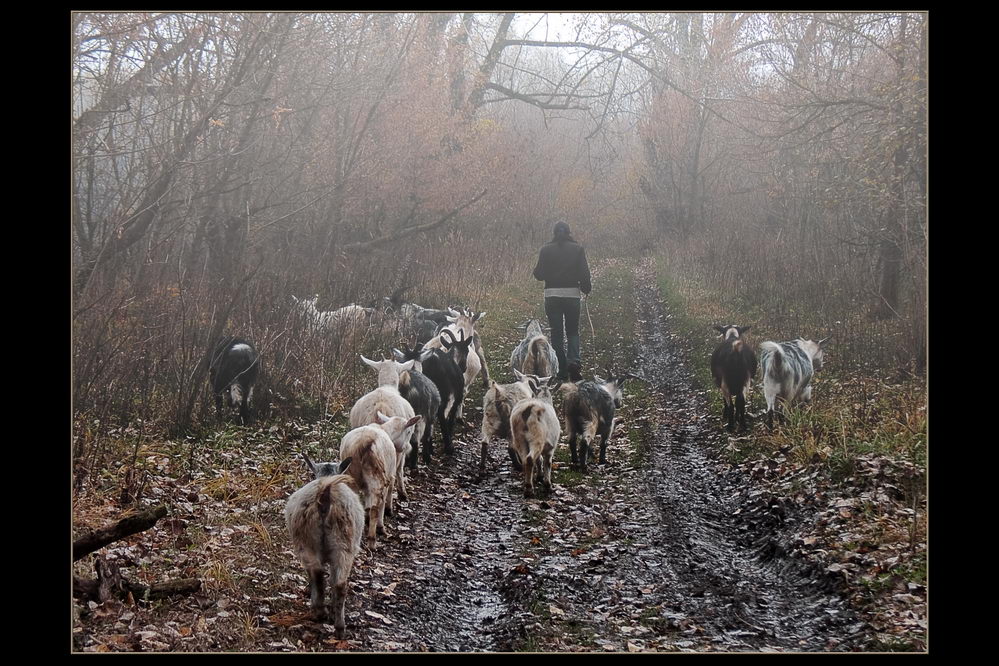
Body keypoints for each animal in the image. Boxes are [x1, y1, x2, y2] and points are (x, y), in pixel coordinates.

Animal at [286, 452, 364, 632]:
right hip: (341, 544)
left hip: (311, 542)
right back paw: (337, 624)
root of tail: (325, 491)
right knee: (337, 582)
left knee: (319, 575)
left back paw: (322, 614)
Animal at [340, 412, 422, 548]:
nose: (407, 448)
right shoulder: (390, 475)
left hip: (351, 474)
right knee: (375, 507)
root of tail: (364, 443)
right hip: (377, 476)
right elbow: (384, 500)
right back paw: (372, 540)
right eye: (409, 431)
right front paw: (384, 519)